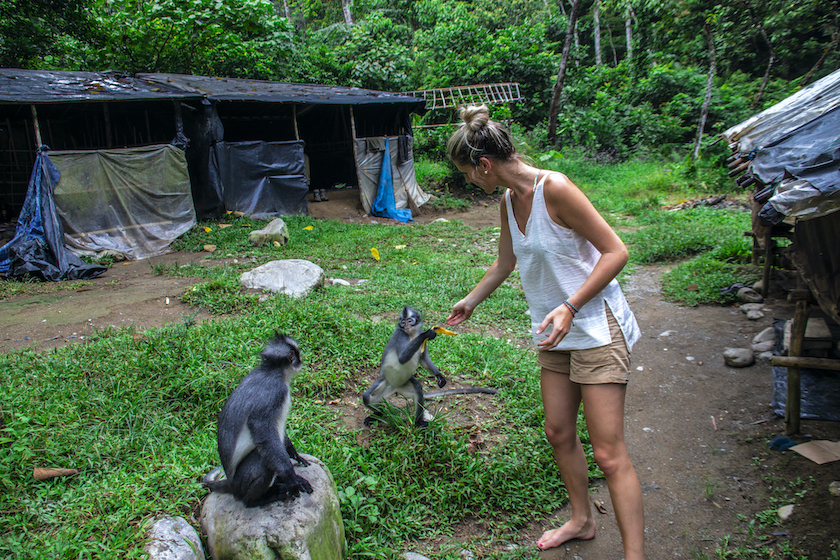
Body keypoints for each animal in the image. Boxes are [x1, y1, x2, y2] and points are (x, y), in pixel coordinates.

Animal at [202, 332, 314, 508]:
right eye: (297, 355)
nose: (302, 360)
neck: (272, 370)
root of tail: (232, 485)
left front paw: (294, 454)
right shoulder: (275, 391)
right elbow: (262, 428)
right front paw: (291, 477)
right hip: (242, 481)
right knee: (263, 462)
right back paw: (255, 500)